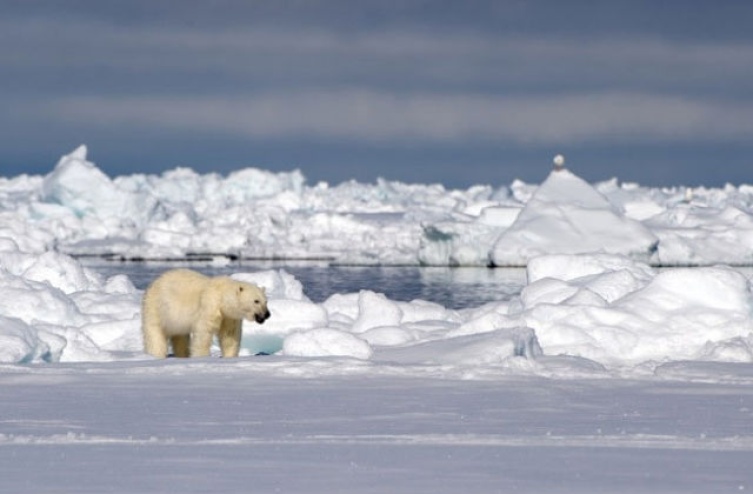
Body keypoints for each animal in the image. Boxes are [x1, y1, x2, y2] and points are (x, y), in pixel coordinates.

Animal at [141, 268, 270, 356]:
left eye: (266, 301)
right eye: (256, 301)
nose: (267, 314)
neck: (221, 295)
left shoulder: (229, 317)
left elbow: (229, 336)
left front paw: (229, 356)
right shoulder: (208, 307)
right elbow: (203, 333)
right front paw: (201, 356)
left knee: (180, 337)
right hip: (155, 308)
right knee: (154, 335)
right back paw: (155, 354)